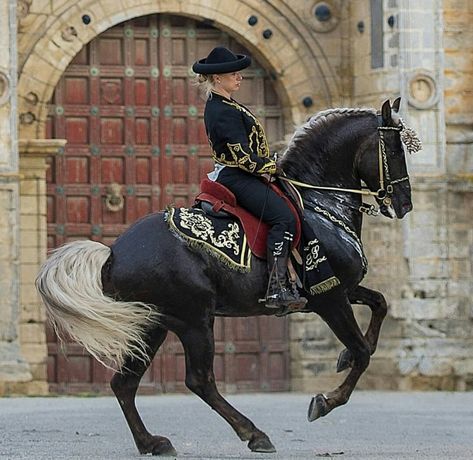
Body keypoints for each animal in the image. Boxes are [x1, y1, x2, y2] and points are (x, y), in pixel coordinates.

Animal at [37, 99, 414, 454]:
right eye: (396, 149)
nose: (404, 204)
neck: (320, 206)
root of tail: (113, 253)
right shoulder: (328, 296)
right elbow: (362, 351)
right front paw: (325, 401)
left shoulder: (342, 289)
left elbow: (380, 305)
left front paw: (343, 357)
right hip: (194, 320)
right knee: (199, 380)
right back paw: (254, 434)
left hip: (153, 324)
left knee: (124, 383)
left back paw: (152, 443)